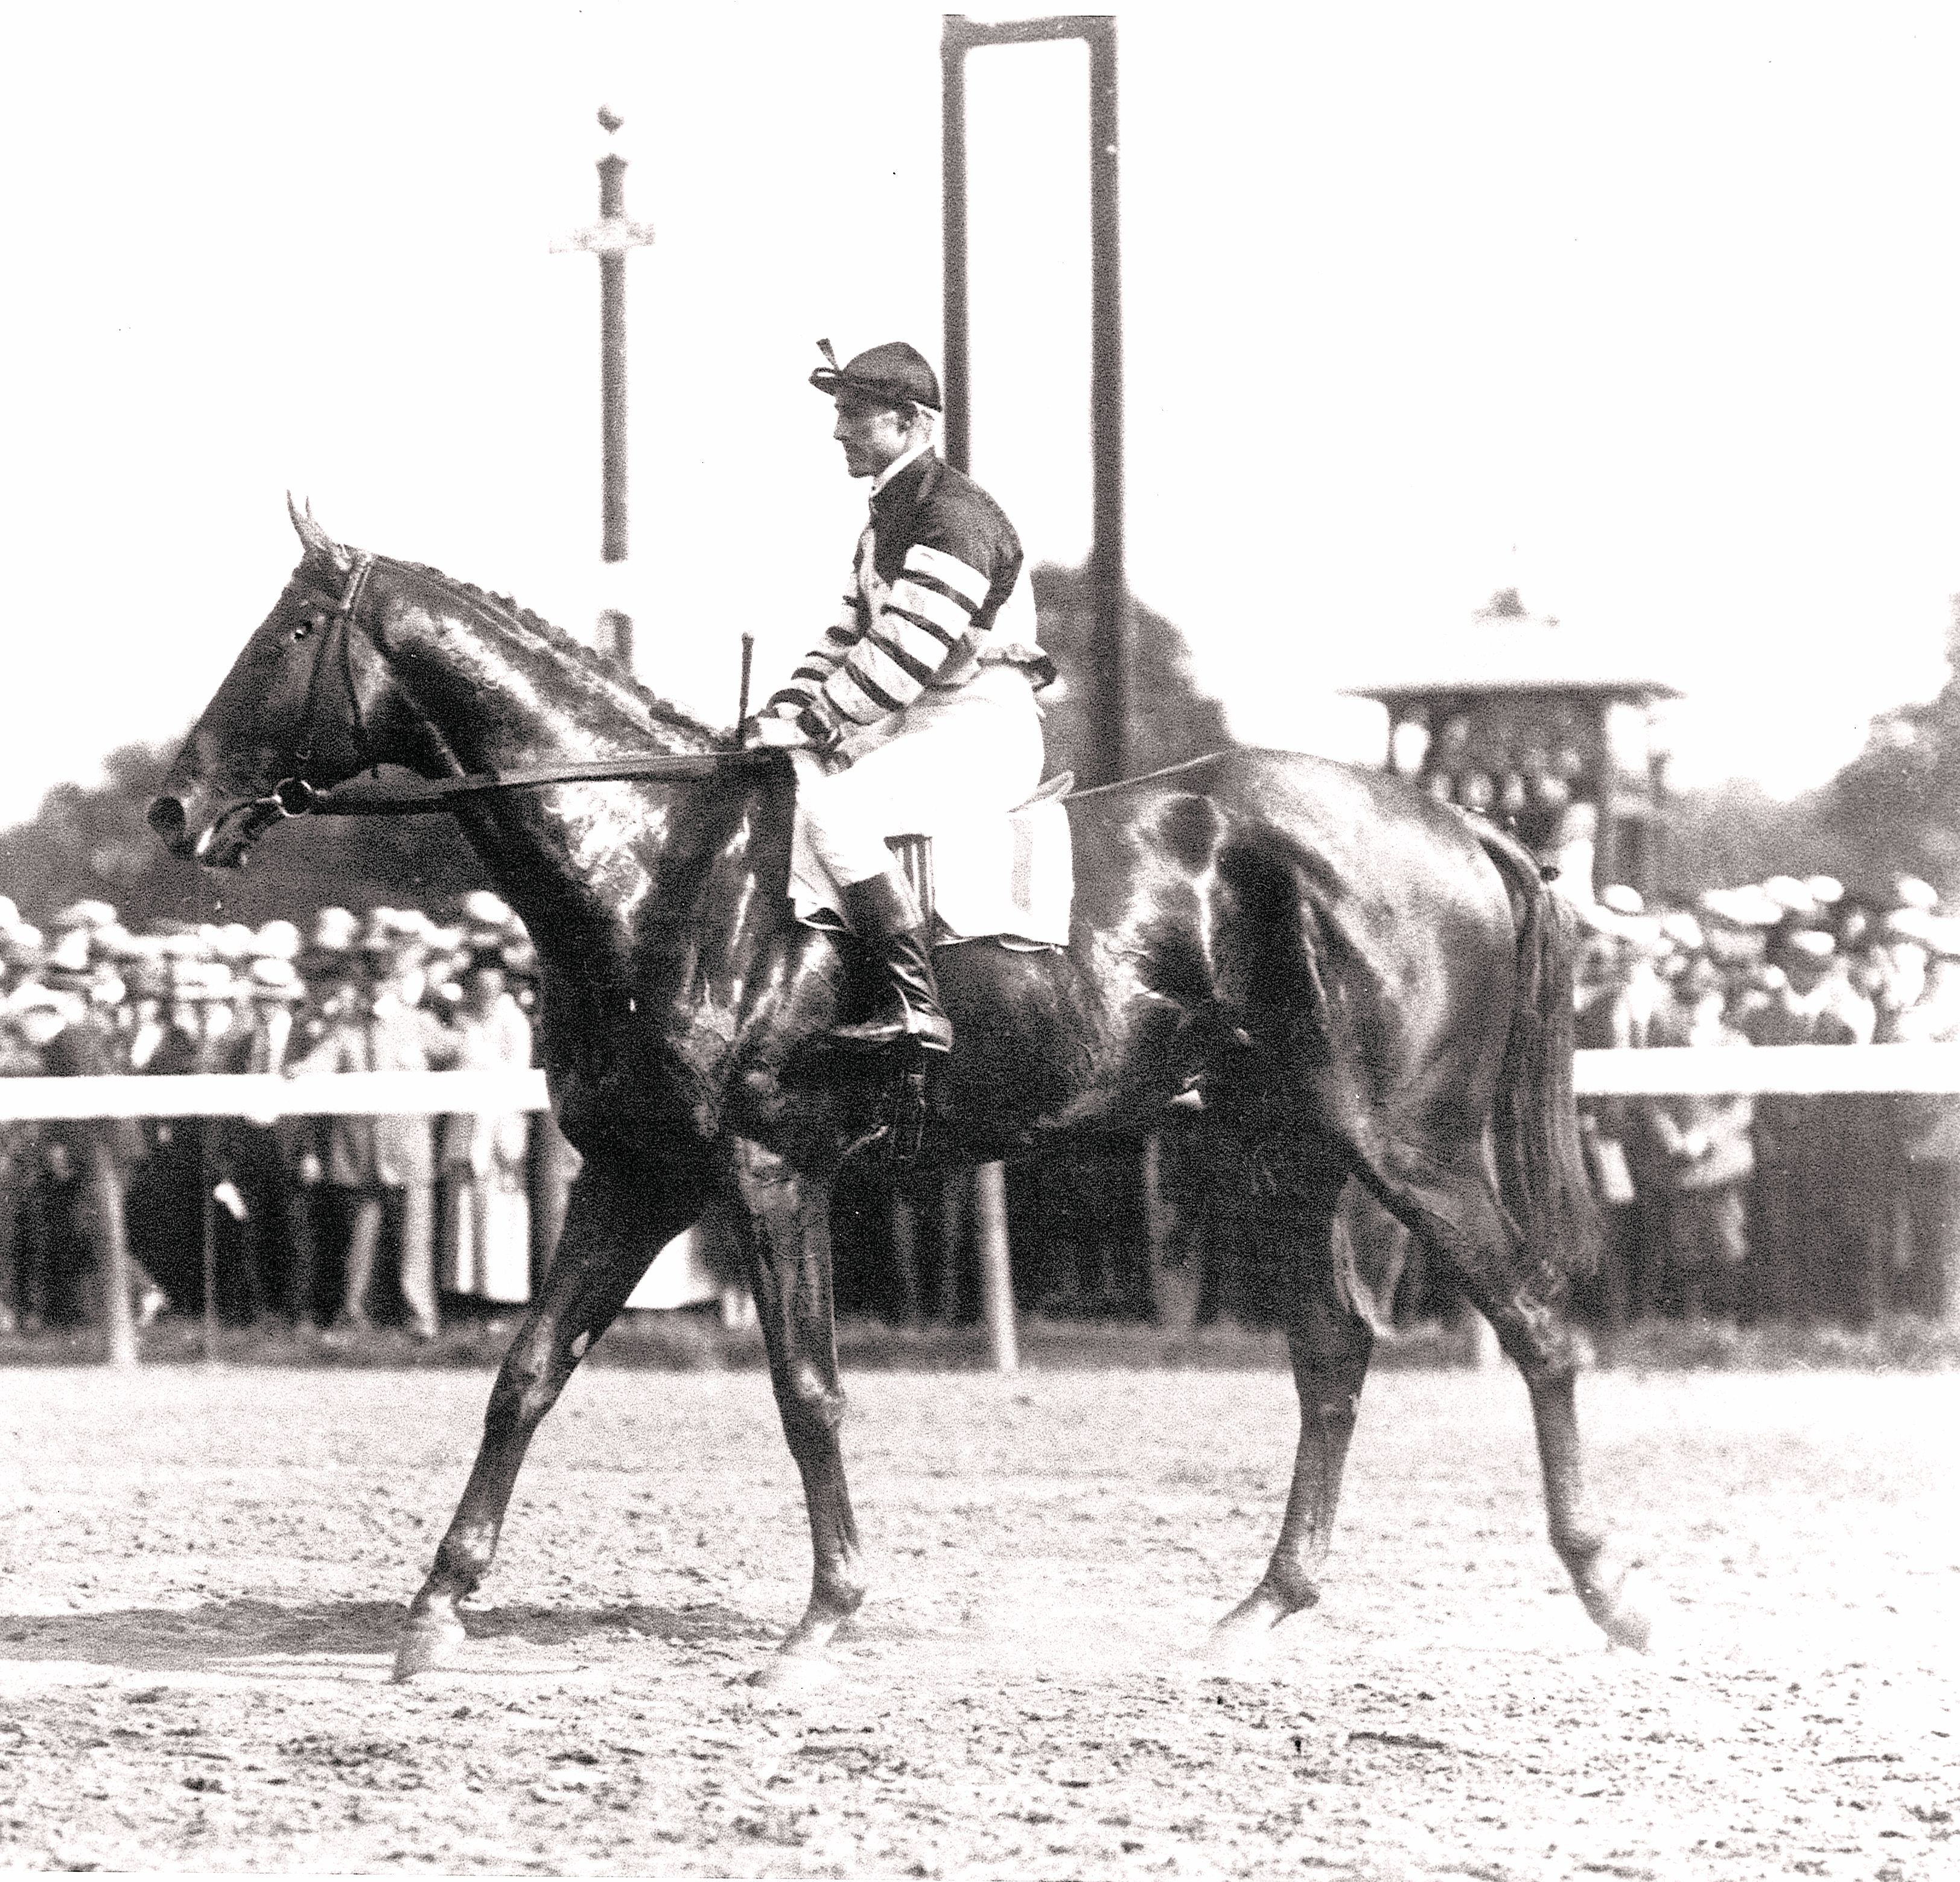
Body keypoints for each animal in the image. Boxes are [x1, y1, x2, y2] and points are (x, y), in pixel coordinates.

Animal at [148, 506, 1654, 1686]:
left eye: (291, 632)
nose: (173, 807)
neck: (663, 860)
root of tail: (1462, 826)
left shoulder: (768, 1171)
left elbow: (806, 1386)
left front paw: (822, 1619)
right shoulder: (635, 1172)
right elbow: (524, 1373)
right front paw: (434, 1607)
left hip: (1410, 1147)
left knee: (1536, 1326)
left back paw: (1608, 1591)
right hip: (1277, 1156)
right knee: (1334, 1353)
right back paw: (1261, 1606)